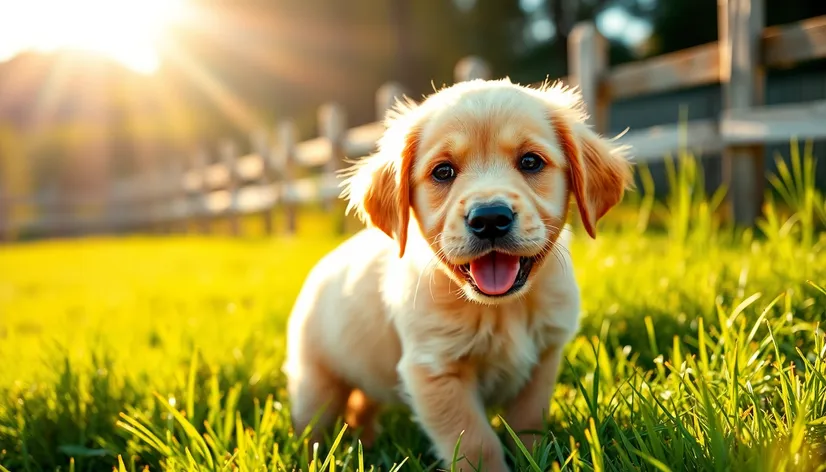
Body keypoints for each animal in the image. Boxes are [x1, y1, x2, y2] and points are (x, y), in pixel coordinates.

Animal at [284, 79, 632, 470]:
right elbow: (477, 443)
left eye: (530, 161)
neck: (500, 309)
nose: (490, 218)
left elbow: (528, 425)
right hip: (315, 382)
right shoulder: (434, 370)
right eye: (443, 171)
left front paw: (533, 457)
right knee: (314, 426)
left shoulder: (543, 359)